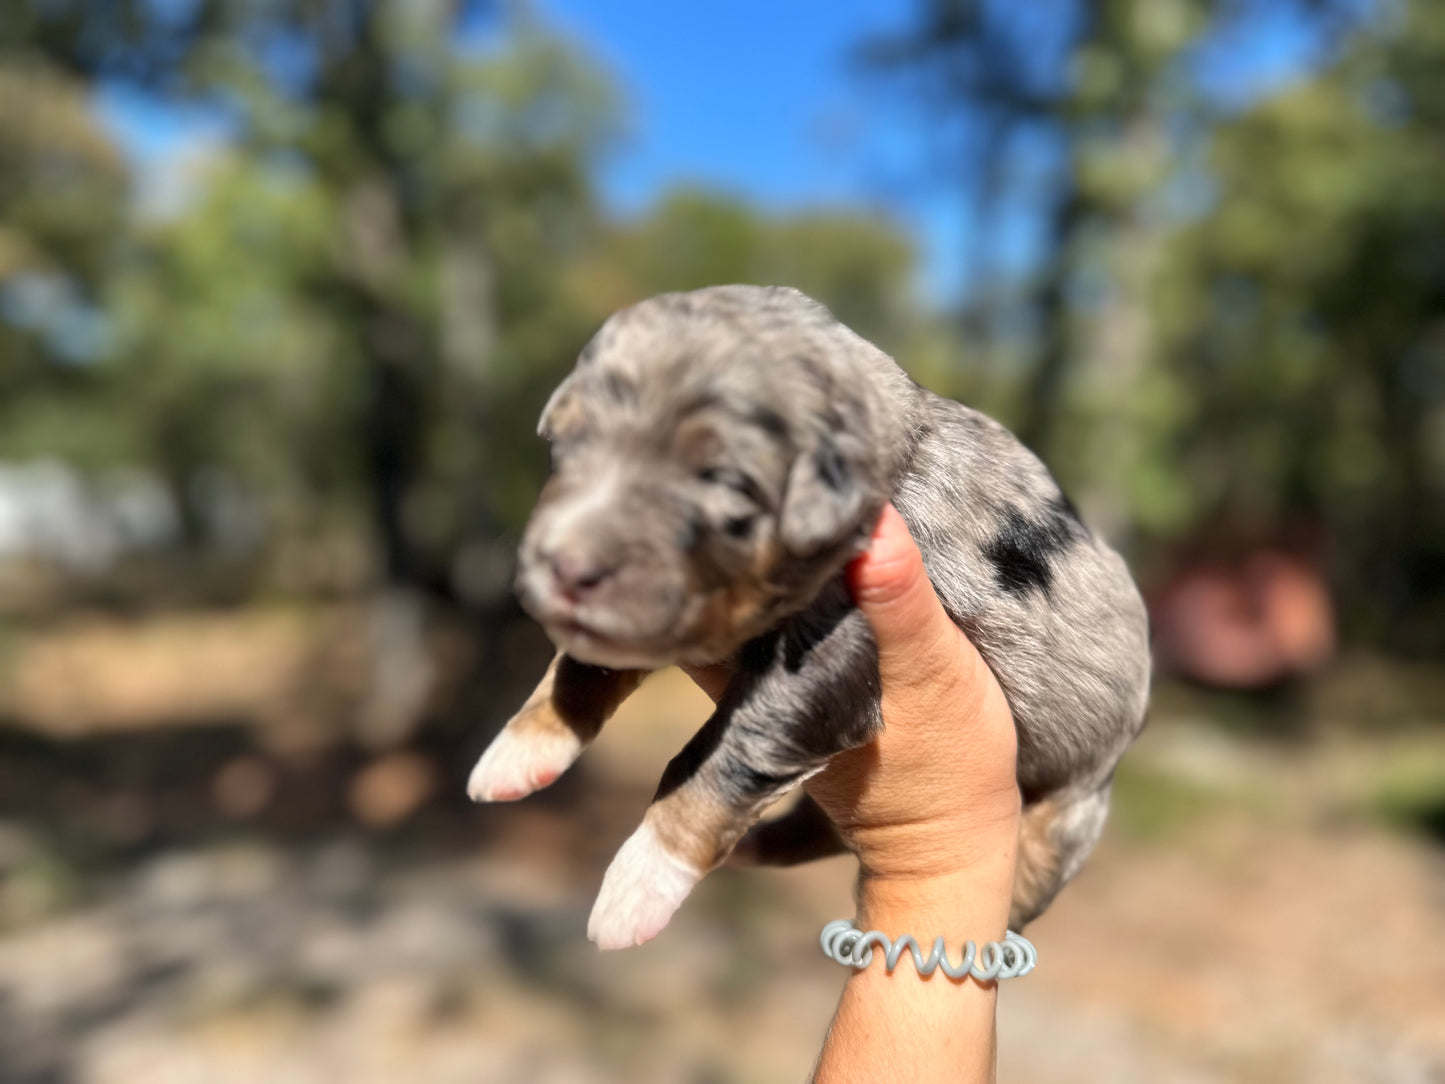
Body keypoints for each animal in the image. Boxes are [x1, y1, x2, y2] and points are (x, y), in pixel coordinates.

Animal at [471, 286, 1150, 948]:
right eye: (564, 448)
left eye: (726, 484)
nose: (564, 567)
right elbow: (585, 665)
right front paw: (521, 749)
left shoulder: (826, 656)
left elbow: (720, 756)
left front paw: (636, 886)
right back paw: (751, 845)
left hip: (1062, 824)